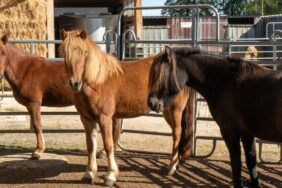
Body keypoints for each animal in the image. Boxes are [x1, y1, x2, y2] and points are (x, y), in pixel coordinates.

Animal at [59, 29, 196, 187]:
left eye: (84, 52)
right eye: (64, 54)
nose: (75, 83)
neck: (98, 81)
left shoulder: (104, 119)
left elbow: (109, 145)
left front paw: (111, 176)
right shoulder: (87, 119)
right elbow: (90, 146)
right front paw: (89, 173)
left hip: (175, 110)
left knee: (177, 134)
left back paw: (172, 167)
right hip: (166, 111)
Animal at [149, 46, 280, 188]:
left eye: (161, 75)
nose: (151, 103)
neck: (226, 81)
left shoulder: (230, 132)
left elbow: (236, 164)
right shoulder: (247, 134)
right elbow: (251, 163)